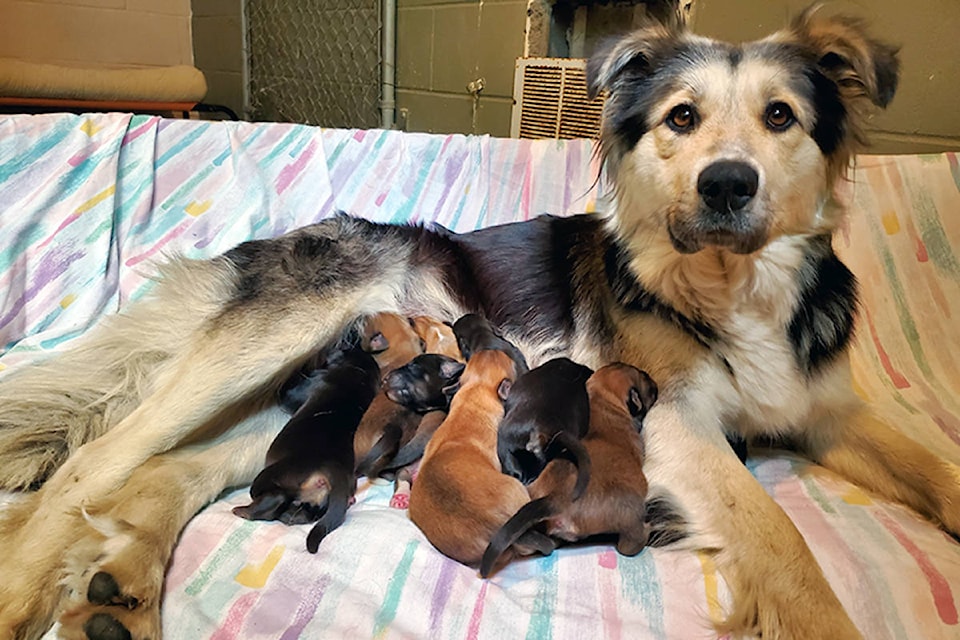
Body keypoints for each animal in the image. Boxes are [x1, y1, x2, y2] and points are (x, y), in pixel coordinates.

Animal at [233, 348, 382, 552]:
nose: (330, 349)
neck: (360, 374)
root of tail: (332, 469)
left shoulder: (300, 389)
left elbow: (286, 391)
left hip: (271, 477)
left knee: (274, 498)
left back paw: (243, 511)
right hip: (317, 502)